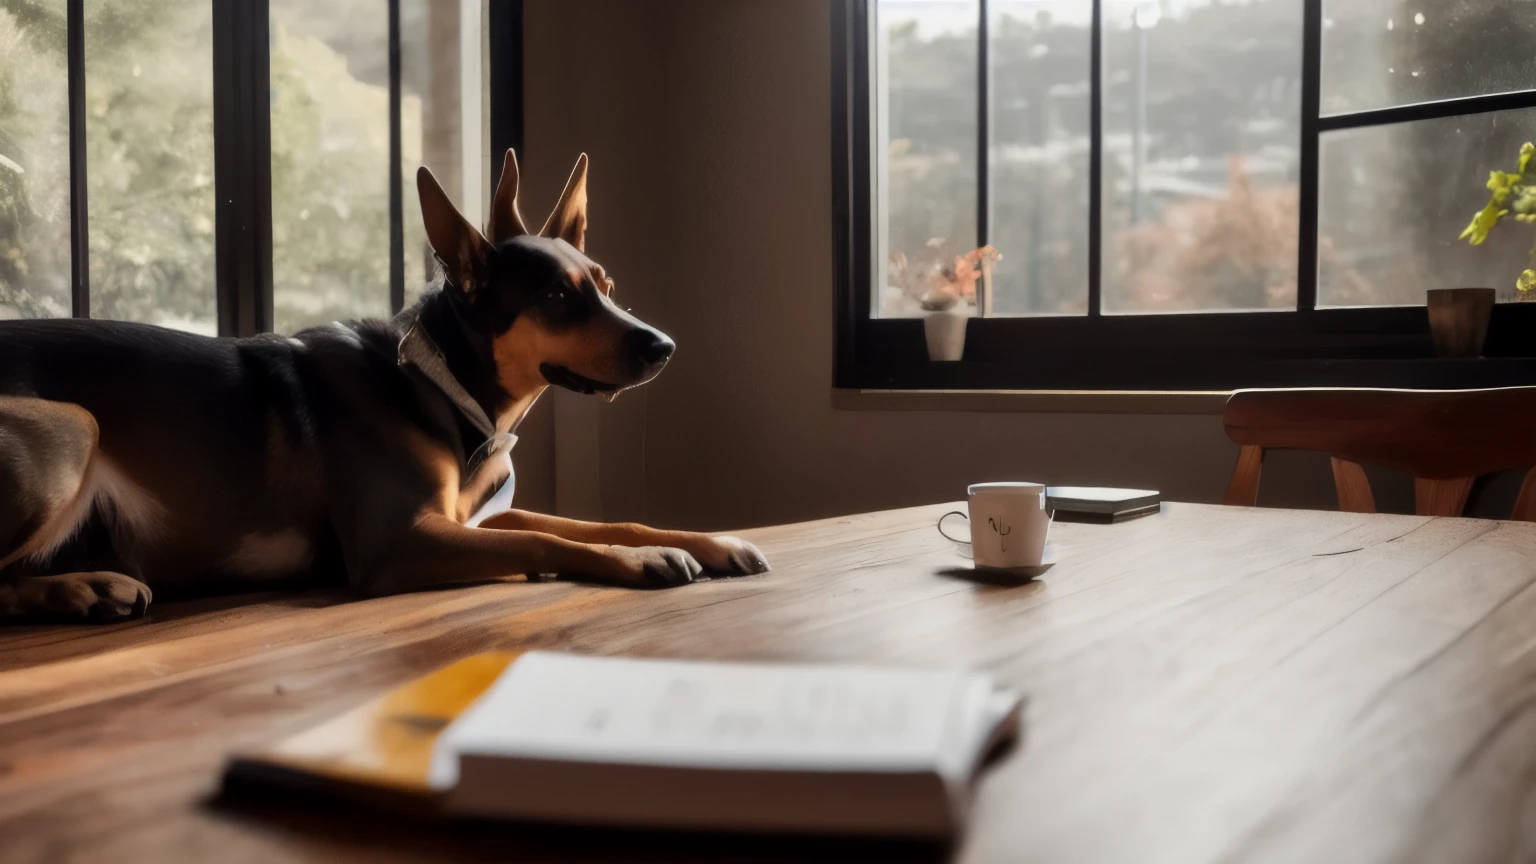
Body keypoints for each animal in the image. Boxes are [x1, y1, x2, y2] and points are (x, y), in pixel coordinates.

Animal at [0, 147, 768, 618]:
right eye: (554, 298)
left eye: (606, 287)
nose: (665, 348)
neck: (442, 389)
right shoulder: (397, 543)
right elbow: (548, 542)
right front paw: (638, 558)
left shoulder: (474, 517)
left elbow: (590, 520)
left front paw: (704, 540)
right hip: (74, 422)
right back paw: (83, 585)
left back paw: (82, 588)